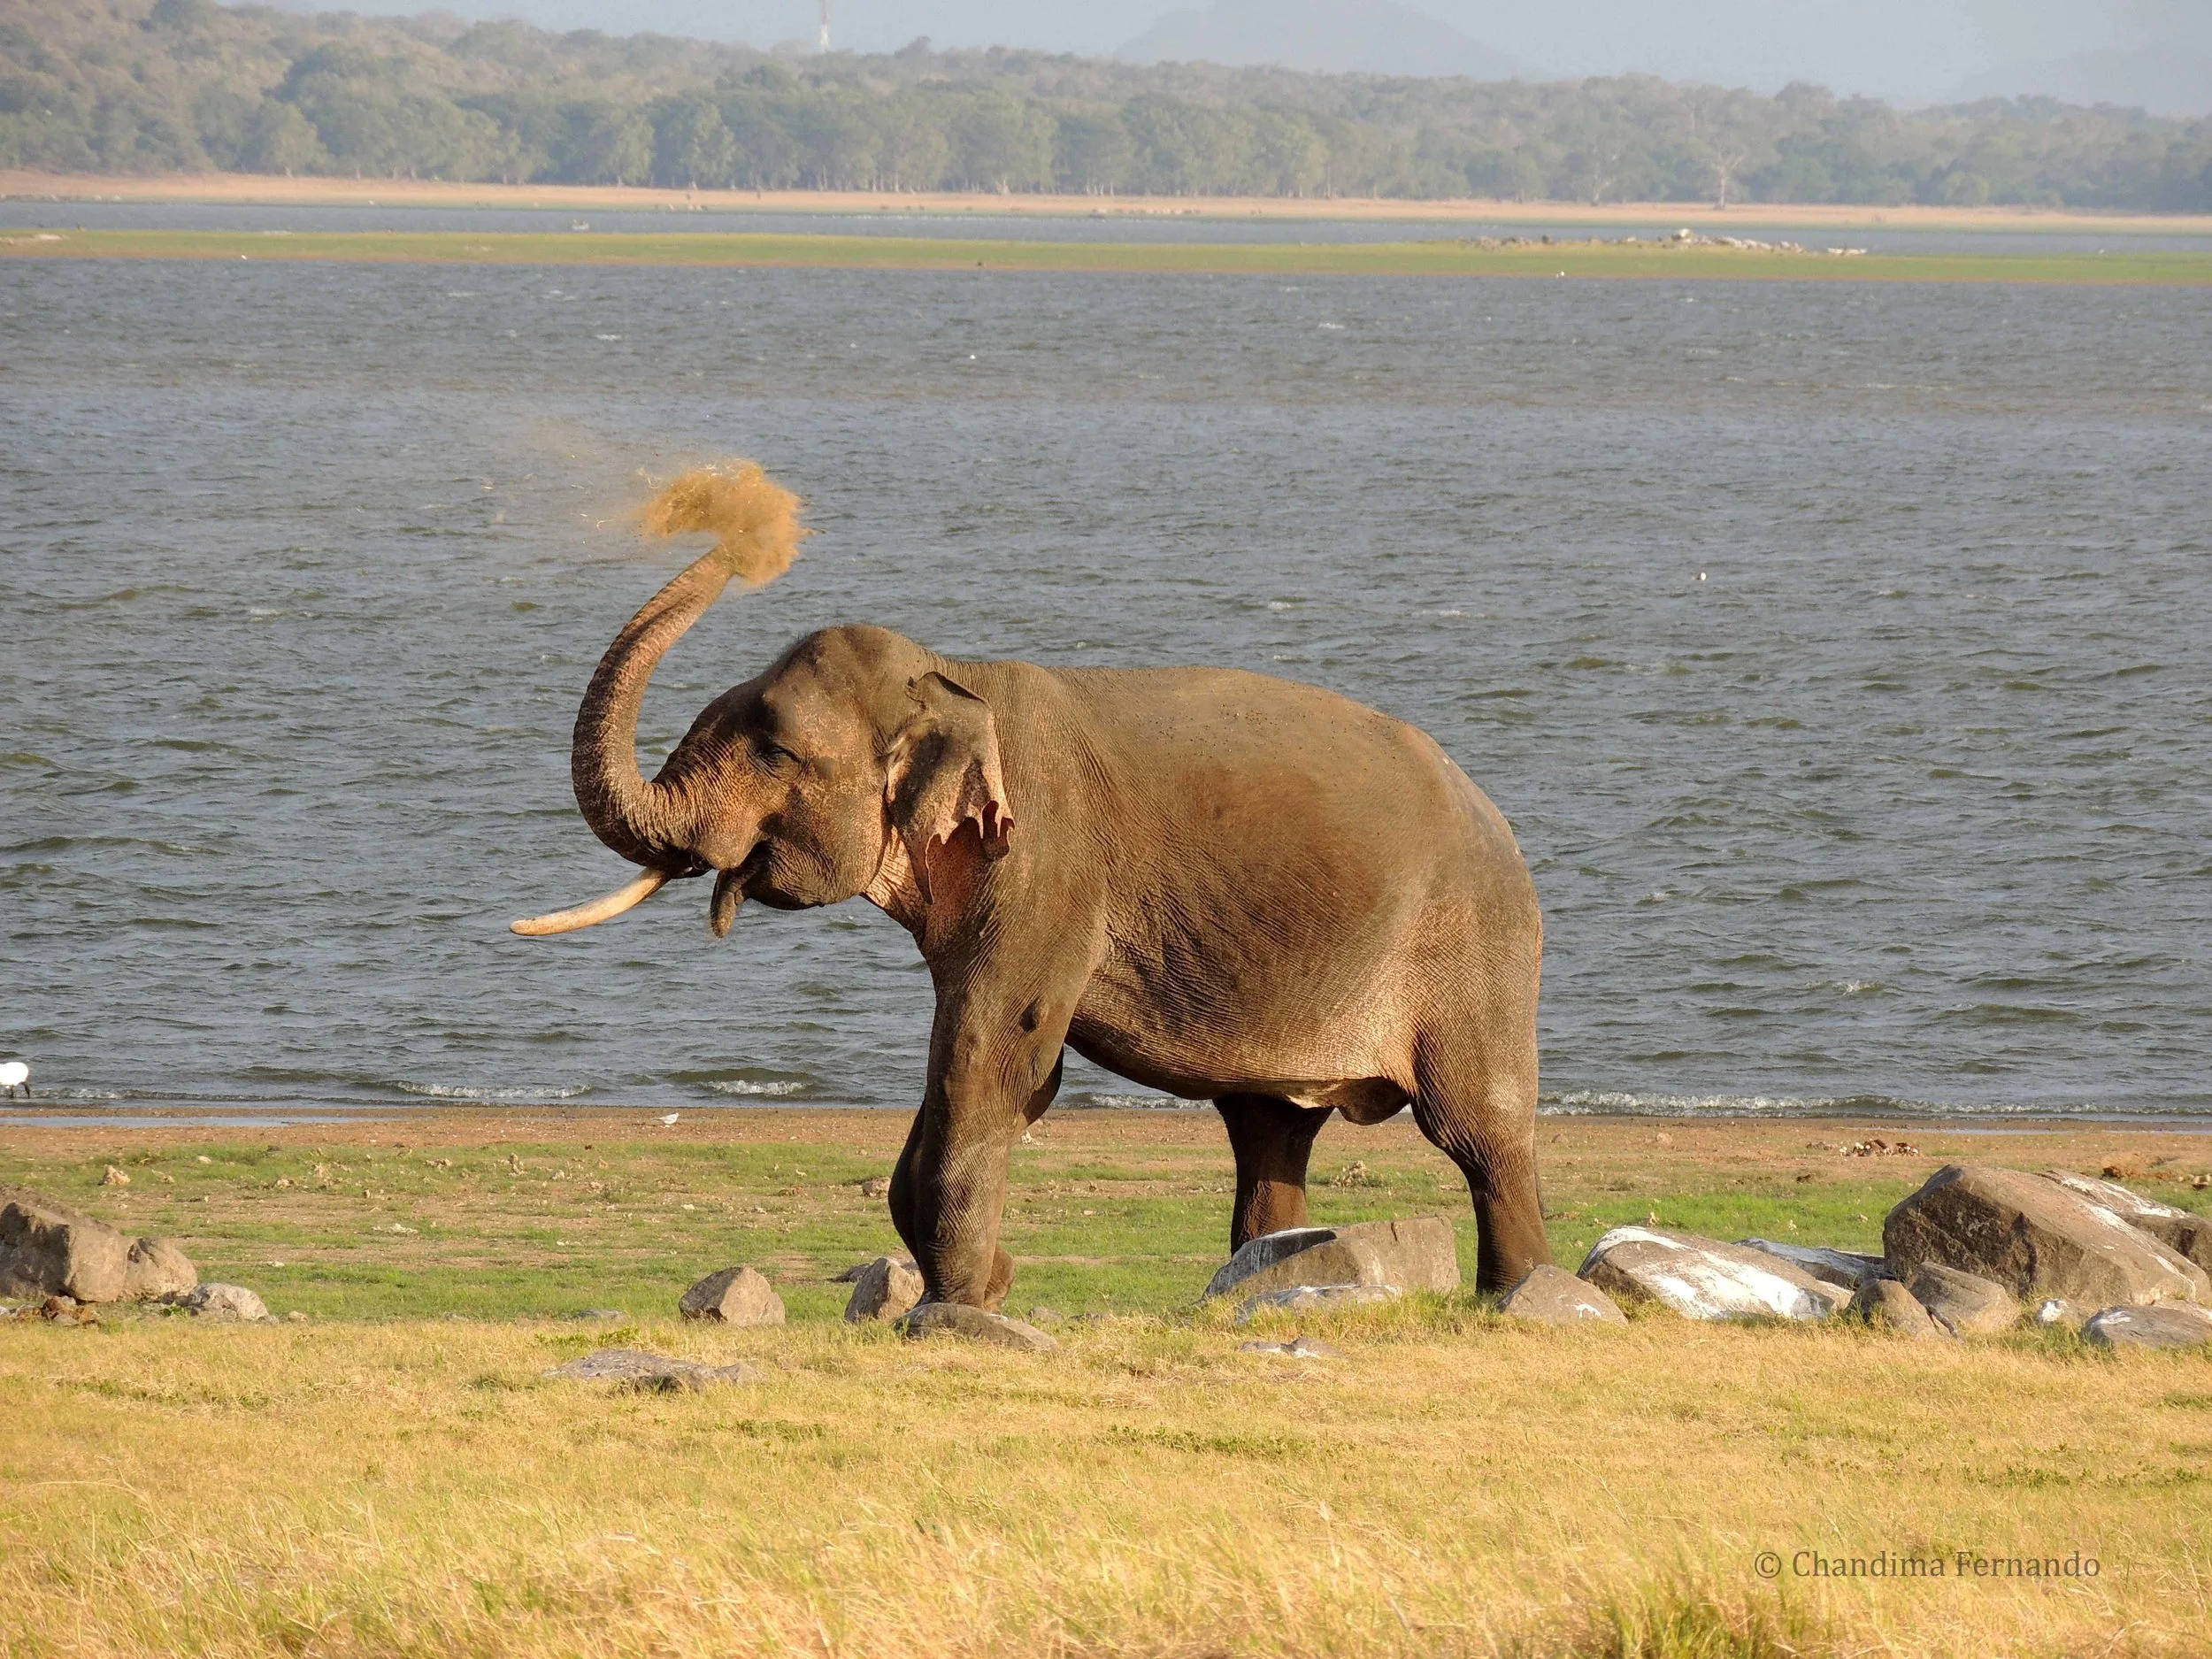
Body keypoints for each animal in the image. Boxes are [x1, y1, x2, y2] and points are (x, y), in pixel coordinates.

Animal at [514, 546, 1550, 1306]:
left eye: (774, 751)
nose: (733, 547)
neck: (953, 675)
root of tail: (1497, 816)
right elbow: (963, 1054)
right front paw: (983, 1286)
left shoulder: (1046, 864)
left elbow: (997, 1049)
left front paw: (959, 1302)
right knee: (1268, 1134)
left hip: (1472, 952)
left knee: (1477, 1130)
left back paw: (1513, 1299)